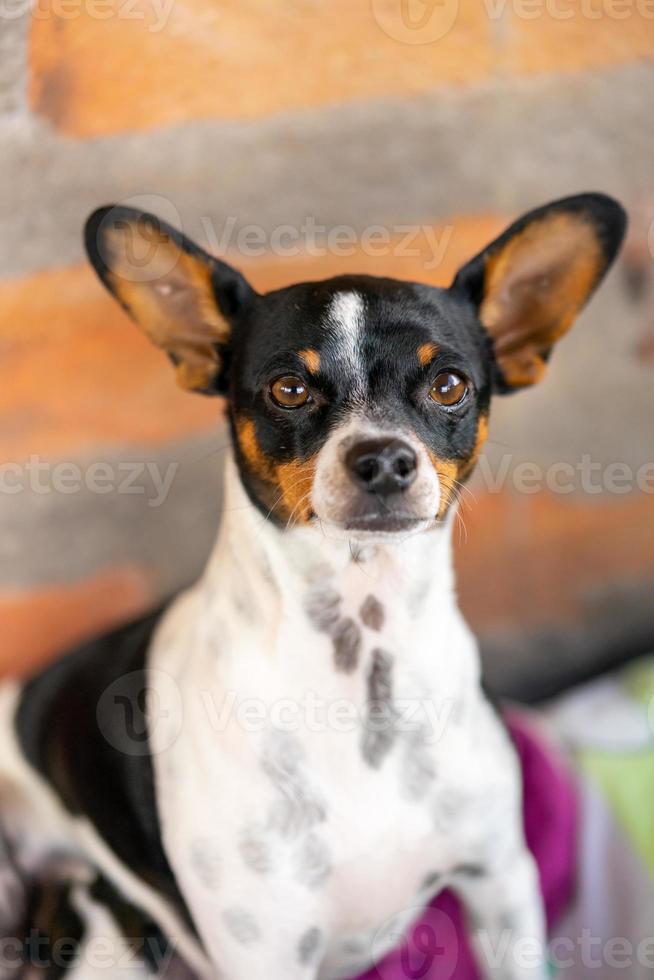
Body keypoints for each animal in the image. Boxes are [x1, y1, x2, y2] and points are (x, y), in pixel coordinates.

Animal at [0, 193, 628, 980]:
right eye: (289, 389)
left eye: (450, 385)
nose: (383, 459)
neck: (363, 655)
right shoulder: (266, 952)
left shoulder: (501, 883)